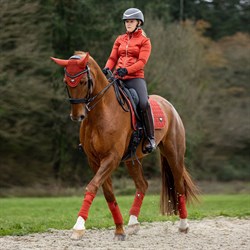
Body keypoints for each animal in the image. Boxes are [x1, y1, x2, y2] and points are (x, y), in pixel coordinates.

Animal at [50, 50, 199, 240]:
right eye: (66, 82)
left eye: (83, 81)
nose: (77, 116)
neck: (101, 113)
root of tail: (169, 105)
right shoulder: (94, 160)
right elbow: (108, 193)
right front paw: (119, 229)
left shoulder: (111, 158)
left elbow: (92, 186)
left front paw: (79, 227)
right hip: (132, 160)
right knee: (142, 185)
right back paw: (133, 223)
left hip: (174, 155)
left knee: (179, 187)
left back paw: (183, 225)